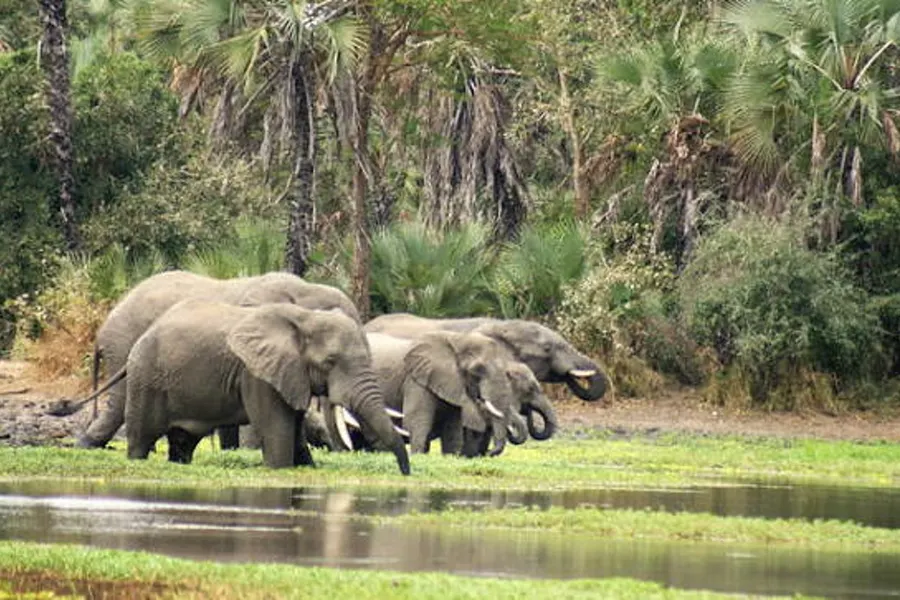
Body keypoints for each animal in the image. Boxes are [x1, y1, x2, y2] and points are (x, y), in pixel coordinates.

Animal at [81, 270, 361, 450]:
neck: (303, 288)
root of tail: (103, 328)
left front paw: (232, 451)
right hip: (124, 344)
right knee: (121, 401)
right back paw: (87, 445)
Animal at [121, 299, 410, 474]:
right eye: (330, 362)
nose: (406, 474)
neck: (305, 318)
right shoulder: (257, 375)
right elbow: (278, 431)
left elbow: (295, 433)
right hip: (145, 379)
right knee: (141, 440)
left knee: (183, 442)